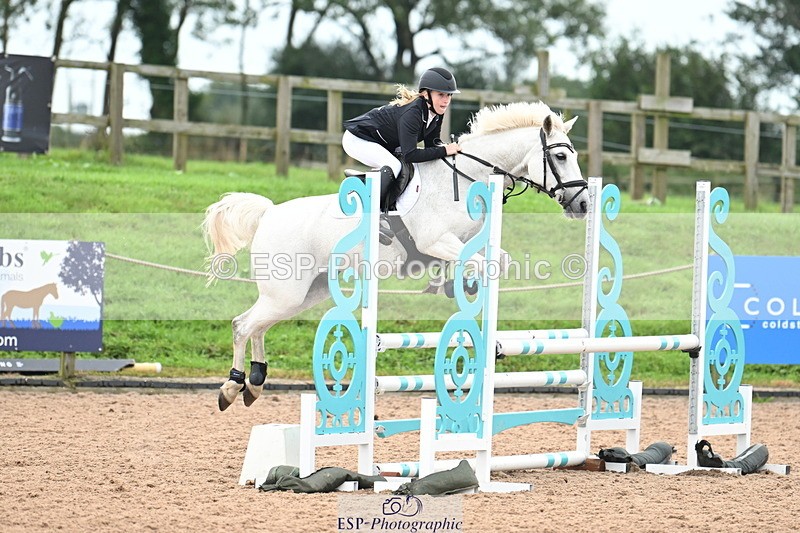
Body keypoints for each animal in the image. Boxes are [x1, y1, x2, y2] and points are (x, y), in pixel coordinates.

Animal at [203, 101, 589, 411]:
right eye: (560, 156)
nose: (583, 204)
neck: (467, 179)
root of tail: (268, 213)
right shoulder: (437, 241)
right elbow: (480, 262)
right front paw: (462, 286)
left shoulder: (464, 242)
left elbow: (496, 261)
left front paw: (459, 286)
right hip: (285, 292)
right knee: (243, 325)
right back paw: (232, 386)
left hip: (305, 293)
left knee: (257, 325)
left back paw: (255, 383)